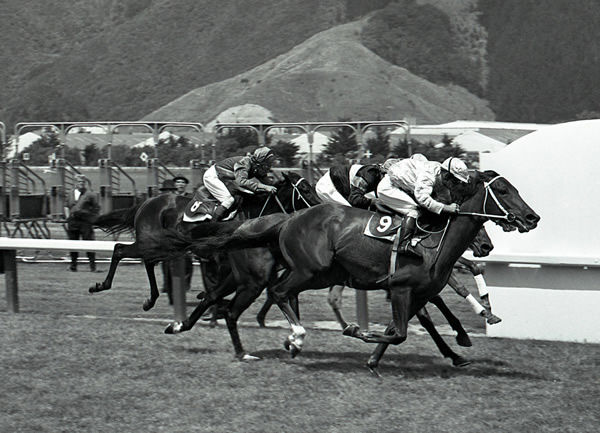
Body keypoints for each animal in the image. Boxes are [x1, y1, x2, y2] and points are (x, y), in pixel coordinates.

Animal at [182, 170, 540, 372]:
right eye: (503, 191)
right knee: (273, 294)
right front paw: (358, 332)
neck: (434, 239)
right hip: (301, 272)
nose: (532, 217)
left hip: (317, 275)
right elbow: (402, 330)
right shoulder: (401, 288)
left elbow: (404, 327)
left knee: (248, 298)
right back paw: (292, 338)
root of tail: (288, 219)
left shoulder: (413, 292)